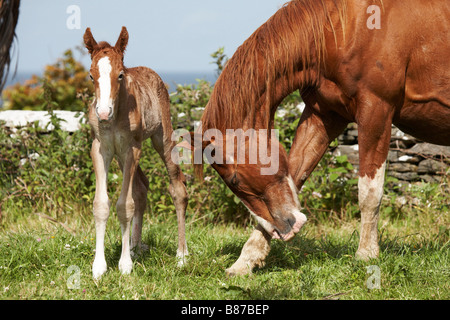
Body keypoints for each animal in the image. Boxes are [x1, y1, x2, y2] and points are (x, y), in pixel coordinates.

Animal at [84, 26, 188, 278]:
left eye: (120, 75)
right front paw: (99, 266)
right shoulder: (100, 148)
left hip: (162, 138)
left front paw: (124, 265)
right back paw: (135, 247)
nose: (103, 113)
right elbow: (101, 204)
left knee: (178, 187)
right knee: (141, 187)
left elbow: (125, 205)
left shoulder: (132, 148)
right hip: (122, 156)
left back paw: (181, 255)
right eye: (91, 76)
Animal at [180, 0, 450, 276]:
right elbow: (295, 174)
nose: (286, 229)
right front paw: (246, 260)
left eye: (234, 180)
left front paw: (366, 254)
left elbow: (369, 193)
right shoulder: (324, 115)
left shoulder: (376, 111)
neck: (346, 29)